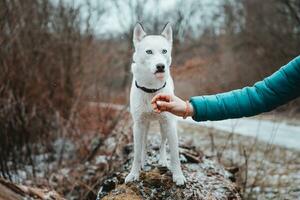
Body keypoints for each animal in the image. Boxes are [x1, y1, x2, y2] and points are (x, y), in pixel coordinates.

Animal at [123, 22, 185, 185]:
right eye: (149, 51)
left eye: (164, 51)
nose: (160, 66)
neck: (151, 89)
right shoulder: (138, 125)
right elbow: (136, 154)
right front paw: (134, 173)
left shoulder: (170, 124)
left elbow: (175, 155)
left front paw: (178, 176)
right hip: (144, 126)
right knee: (144, 144)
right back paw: (144, 161)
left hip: (163, 126)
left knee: (162, 144)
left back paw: (163, 161)